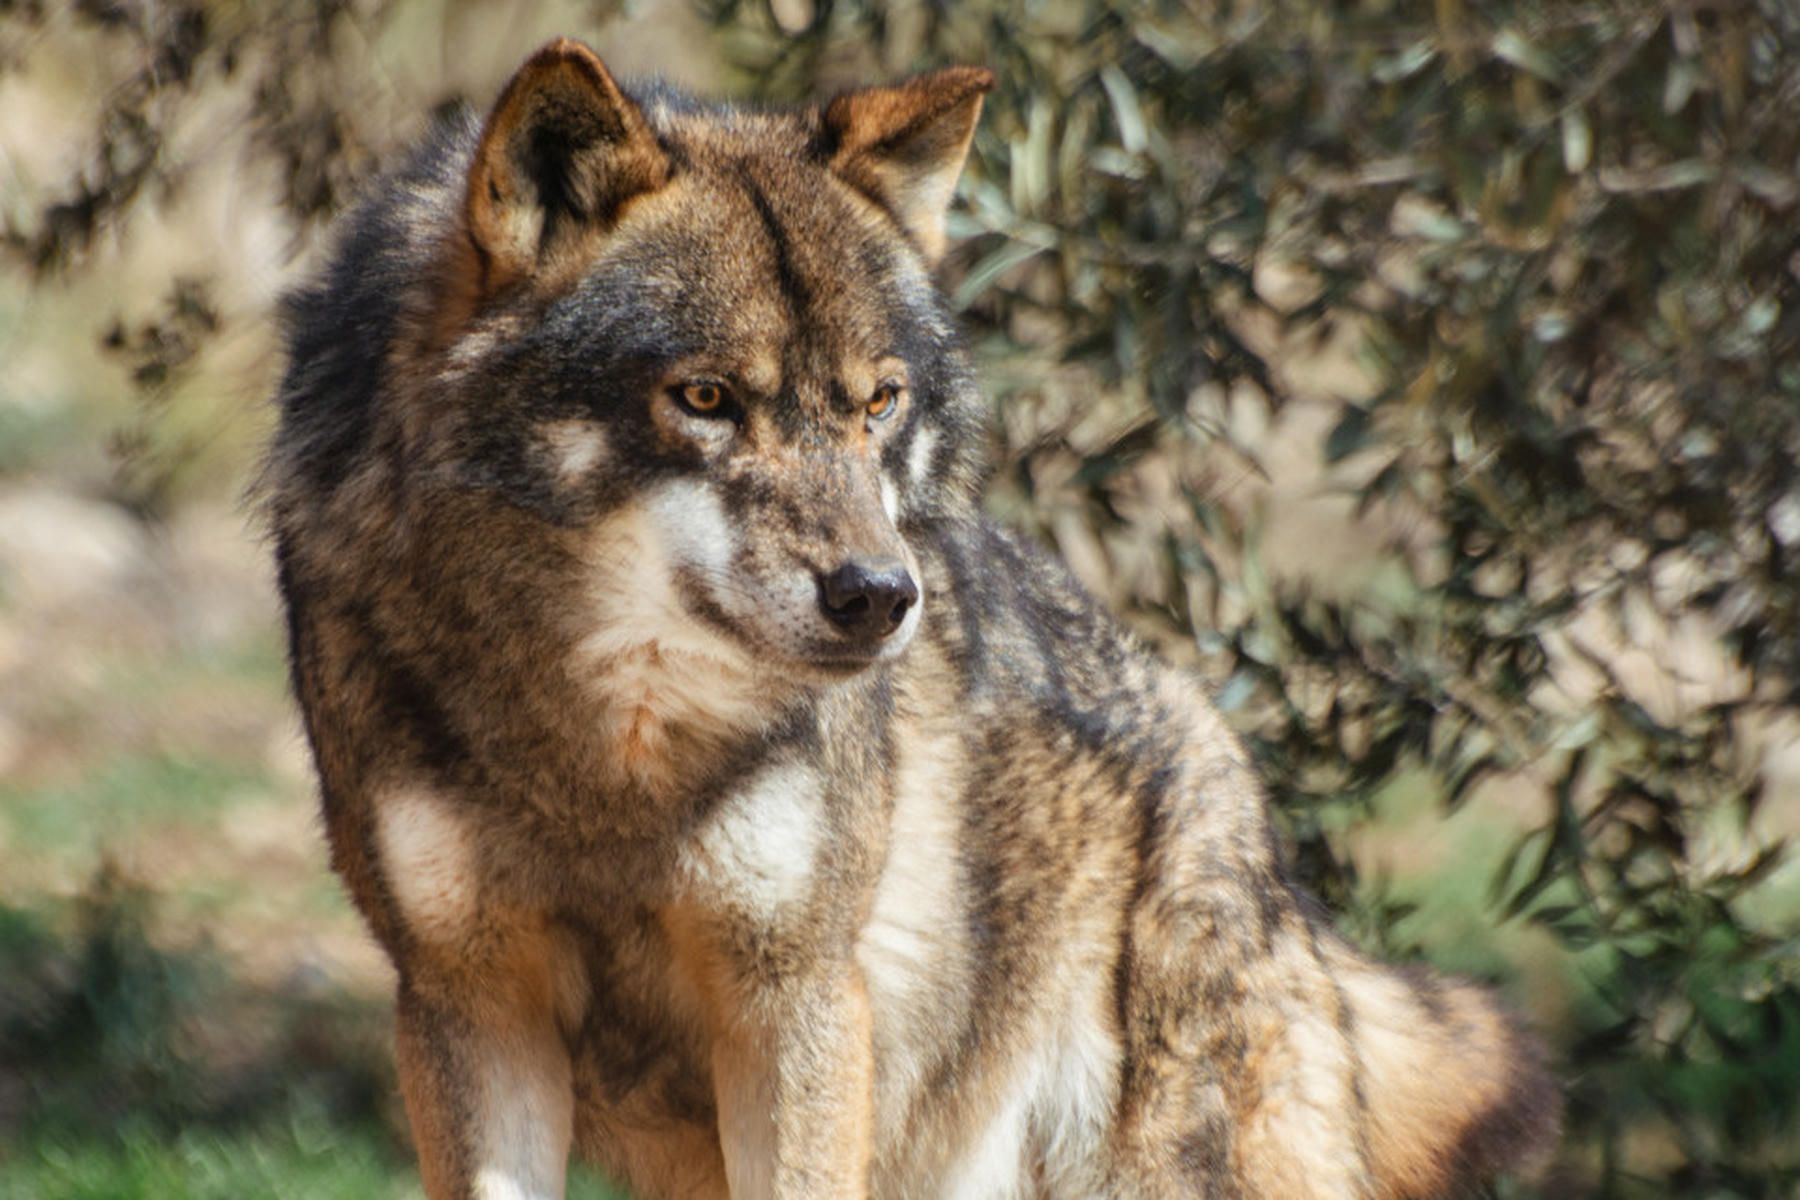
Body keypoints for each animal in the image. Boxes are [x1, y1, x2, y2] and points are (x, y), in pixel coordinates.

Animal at [266, 37, 1559, 1200]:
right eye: (706, 398)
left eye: (878, 402)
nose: (881, 598)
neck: (609, 755)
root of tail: (1232, 780)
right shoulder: (471, 1005)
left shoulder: (796, 999)